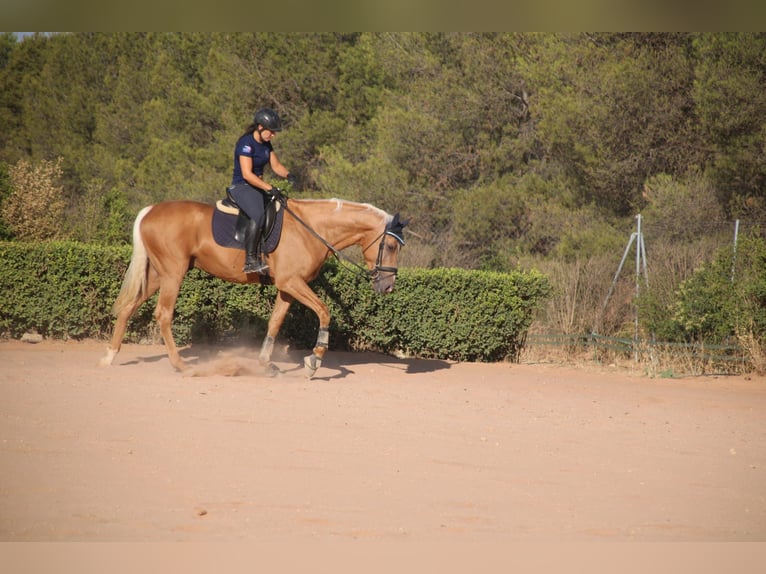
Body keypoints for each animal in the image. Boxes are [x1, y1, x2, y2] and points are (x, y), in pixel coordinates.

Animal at [100, 196, 408, 380]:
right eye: (392, 246)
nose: (388, 287)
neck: (311, 229)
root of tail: (150, 210)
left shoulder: (288, 288)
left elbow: (275, 323)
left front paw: (265, 363)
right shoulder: (292, 282)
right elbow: (324, 311)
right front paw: (314, 360)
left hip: (157, 275)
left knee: (129, 307)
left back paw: (110, 356)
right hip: (173, 274)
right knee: (163, 314)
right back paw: (181, 365)